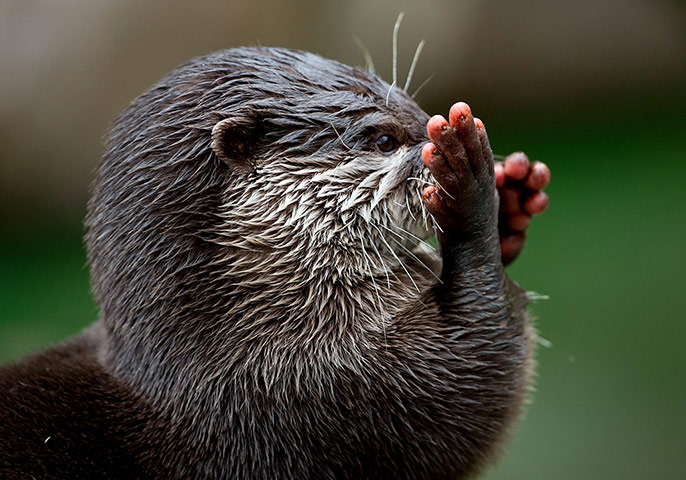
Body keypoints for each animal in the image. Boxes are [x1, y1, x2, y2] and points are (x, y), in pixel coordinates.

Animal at [0, 47, 550, 479]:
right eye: (384, 141)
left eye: (415, 108)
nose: (438, 140)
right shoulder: (335, 394)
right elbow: (479, 374)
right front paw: (471, 182)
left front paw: (512, 193)